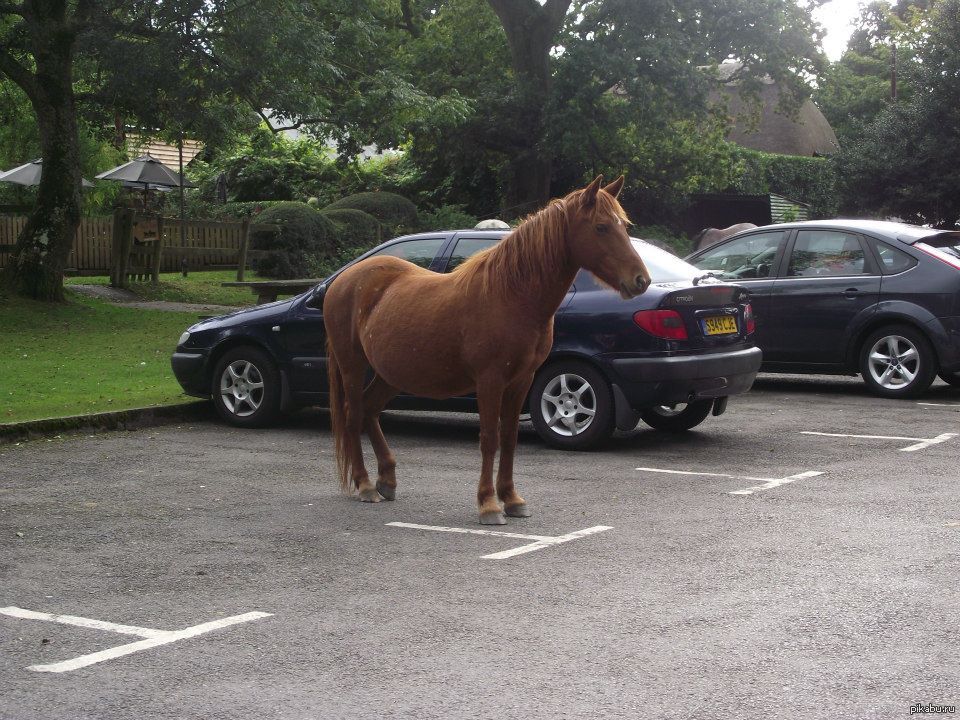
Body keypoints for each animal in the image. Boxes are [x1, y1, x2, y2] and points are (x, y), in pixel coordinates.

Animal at [324, 174, 652, 524]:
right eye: (602, 227)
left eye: (624, 225)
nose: (641, 280)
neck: (512, 295)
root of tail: (340, 280)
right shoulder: (490, 381)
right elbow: (489, 439)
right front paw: (489, 504)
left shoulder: (521, 381)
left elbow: (508, 438)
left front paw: (512, 499)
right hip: (352, 365)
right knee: (354, 414)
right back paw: (365, 485)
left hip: (390, 374)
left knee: (370, 410)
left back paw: (386, 479)